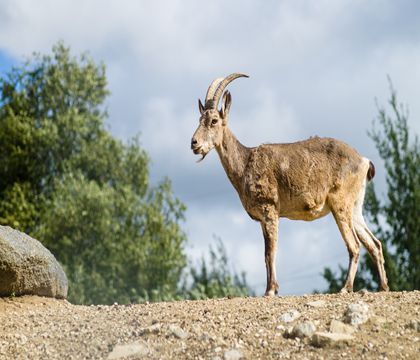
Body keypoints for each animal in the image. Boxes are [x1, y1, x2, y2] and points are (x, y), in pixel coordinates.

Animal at [190, 74, 388, 296]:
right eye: (199, 119)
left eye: (214, 121)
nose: (194, 143)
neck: (245, 163)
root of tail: (364, 161)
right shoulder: (262, 219)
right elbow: (265, 253)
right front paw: (270, 289)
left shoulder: (269, 210)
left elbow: (271, 252)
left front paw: (270, 290)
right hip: (355, 206)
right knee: (375, 244)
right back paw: (383, 287)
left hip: (340, 203)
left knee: (354, 245)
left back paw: (345, 288)